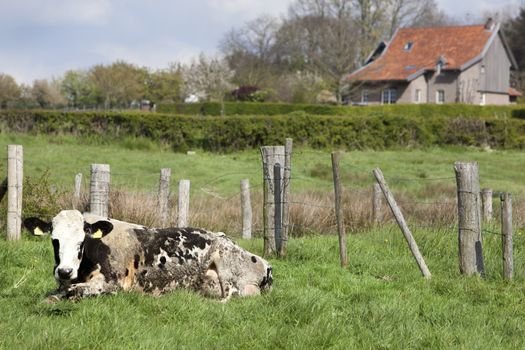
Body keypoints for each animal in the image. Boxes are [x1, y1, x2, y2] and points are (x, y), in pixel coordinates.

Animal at [23, 209, 272, 302]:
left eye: (81, 241)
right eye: (54, 240)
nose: (65, 271)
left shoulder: (112, 284)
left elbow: (74, 291)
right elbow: (53, 293)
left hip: (225, 266)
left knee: (228, 297)